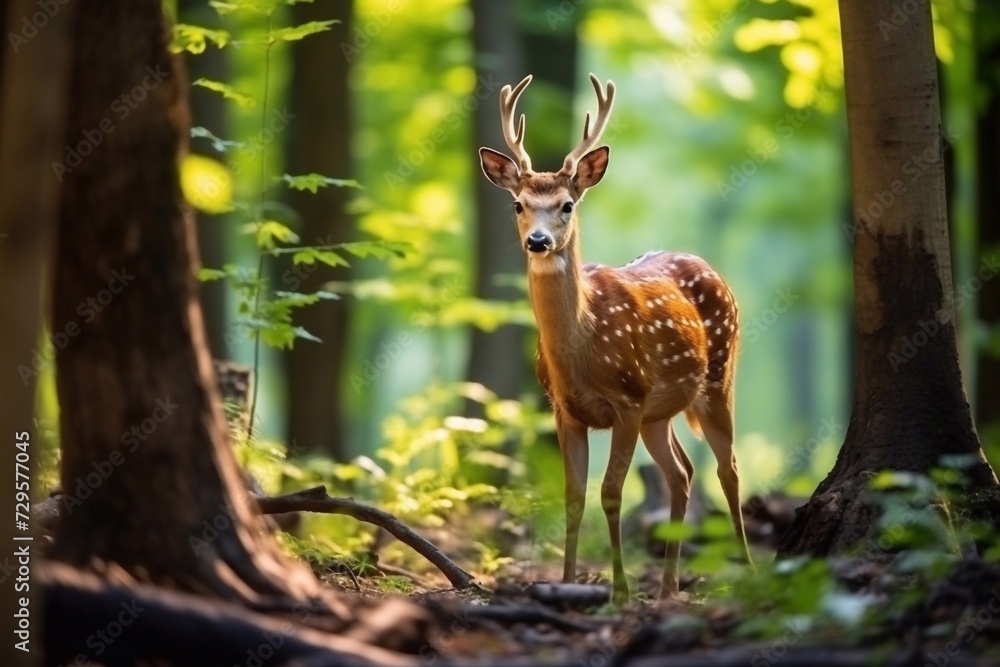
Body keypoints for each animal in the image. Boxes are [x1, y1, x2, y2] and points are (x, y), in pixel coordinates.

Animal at [478, 74, 753, 601]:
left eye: (567, 204)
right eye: (519, 204)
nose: (538, 241)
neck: (581, 352)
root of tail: (710, 267)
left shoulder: (627, 399)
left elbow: (610, 493)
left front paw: (620, 592)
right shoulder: (565, 410)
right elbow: (572, 496)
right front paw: (566, 584)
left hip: (717, 379)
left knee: (728, 468)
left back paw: (749, 571)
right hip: (659, 413)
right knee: (682, 474)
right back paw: (667, 587)